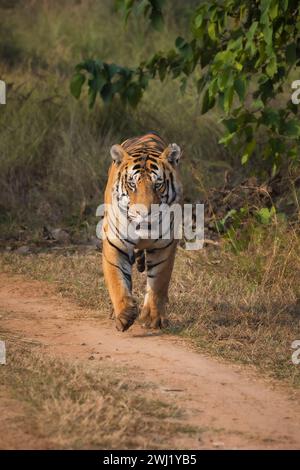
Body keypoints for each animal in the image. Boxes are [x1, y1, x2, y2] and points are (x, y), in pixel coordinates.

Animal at [101, 130, 183, 332]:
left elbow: (158, 283)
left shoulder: (165, 246)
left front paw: (153, 318)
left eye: (158, 184)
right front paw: (124, 314)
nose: (144, 212)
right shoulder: (114, 244)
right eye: (132, 184)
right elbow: (117, 280)